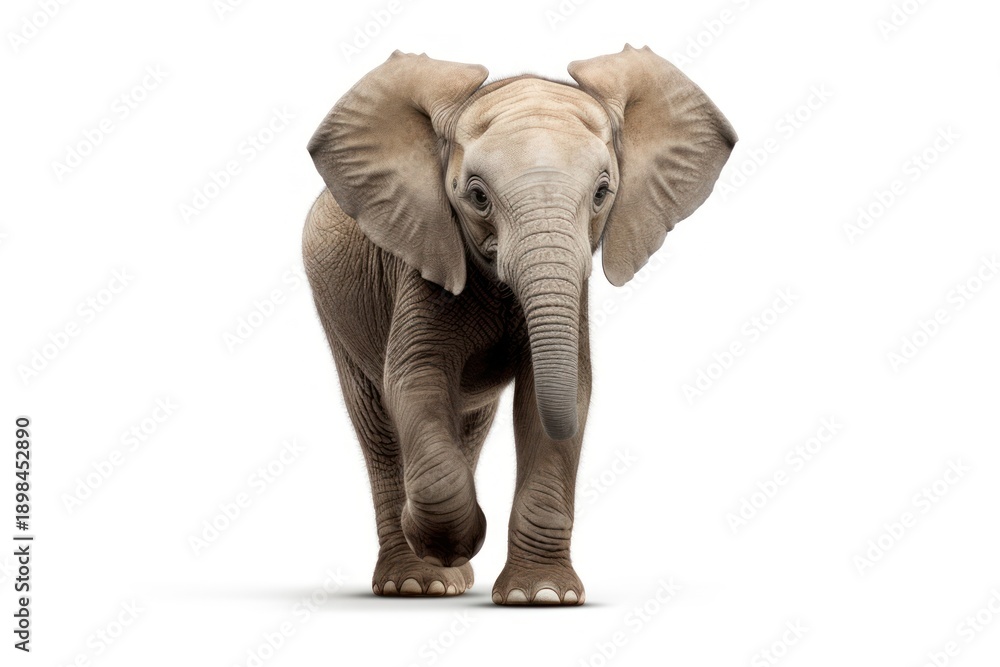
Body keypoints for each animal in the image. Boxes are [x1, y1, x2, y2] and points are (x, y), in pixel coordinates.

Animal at [302, 45, 736, 605]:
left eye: (603, 193)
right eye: (477, 196)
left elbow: (555, 392)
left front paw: (544, 597)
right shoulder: (423, 260)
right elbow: (415, 379)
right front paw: (444, 540)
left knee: (470, 419)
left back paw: (453, 579)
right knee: (377, 422)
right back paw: (418, 582)